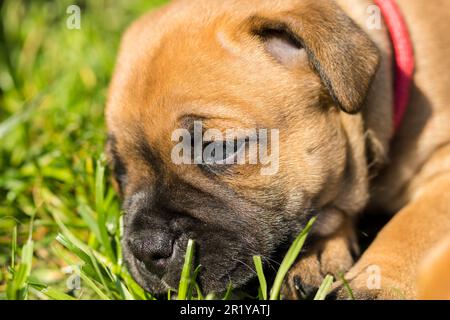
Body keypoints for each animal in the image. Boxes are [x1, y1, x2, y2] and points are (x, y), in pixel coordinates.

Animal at [105, 0, 450, 300]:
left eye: (218, 149)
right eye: (118, 172)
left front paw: (375, 286)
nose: (147, 249)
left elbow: (413, 224)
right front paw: (318, 256)